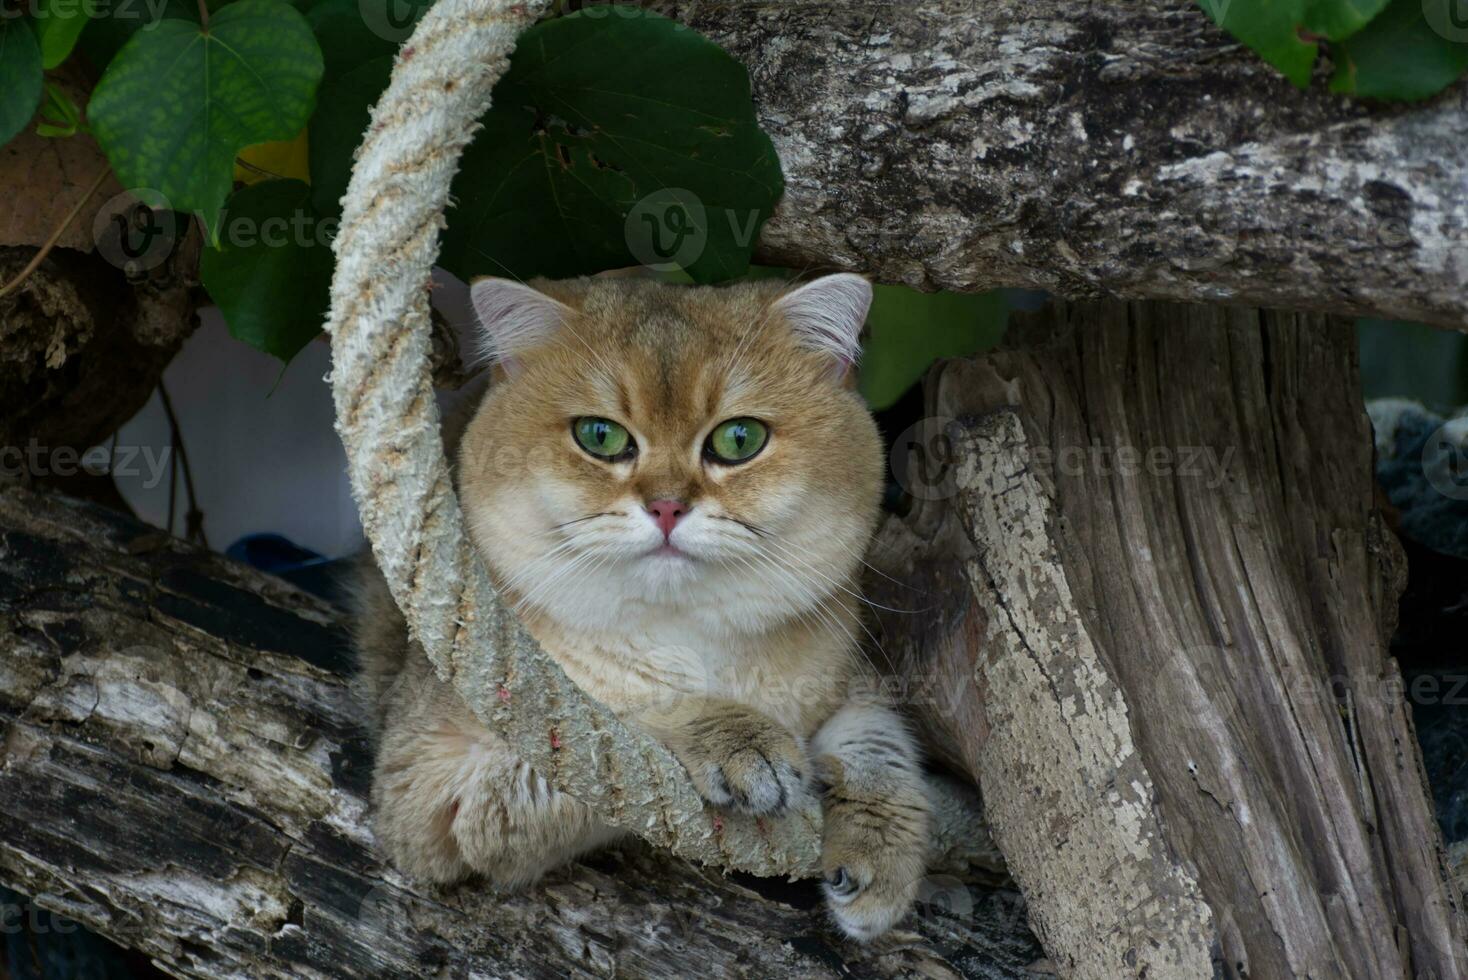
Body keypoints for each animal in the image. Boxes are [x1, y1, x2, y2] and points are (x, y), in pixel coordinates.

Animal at [353, 271, 927, 938]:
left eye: (740, 439)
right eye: (599, 437)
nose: (667, 506)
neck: (684, 633)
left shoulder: (847, 669)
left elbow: (879, 738)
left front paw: (879, 846)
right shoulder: (431, 790)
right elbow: (621, 725)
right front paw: (736, 739)